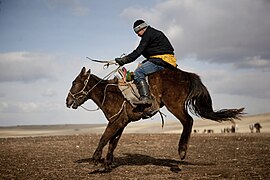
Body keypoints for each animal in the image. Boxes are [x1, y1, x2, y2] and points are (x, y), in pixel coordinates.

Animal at [66, 66, 245, 169]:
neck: (109, 93)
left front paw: (96, 159)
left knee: (188, 121)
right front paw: (108, 163)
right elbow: (113, 142)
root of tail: (187, 75)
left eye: (74, 83)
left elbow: (104, 138)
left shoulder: (115, 122)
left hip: (175, 105)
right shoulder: (121, 123)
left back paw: (182, 151)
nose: (67, 101)